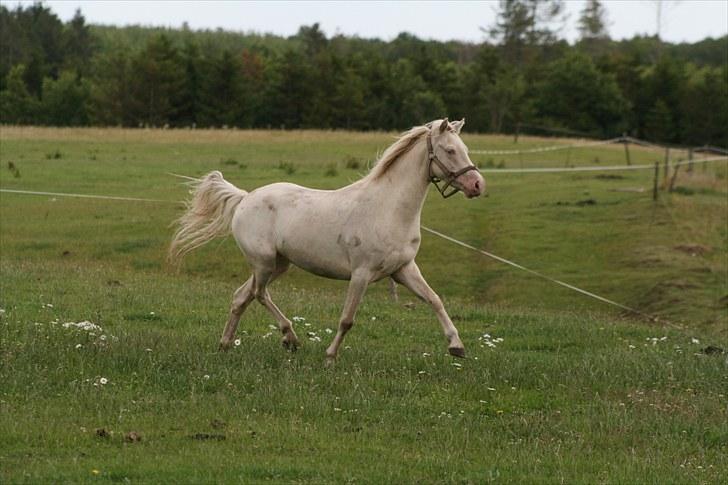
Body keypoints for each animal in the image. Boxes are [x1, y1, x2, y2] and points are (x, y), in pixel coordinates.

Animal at [169, 118, 485, 362]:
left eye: (465, 149)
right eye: (449, 150)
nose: (477, 185)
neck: (388, 208)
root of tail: (246, 198)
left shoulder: (404, 269)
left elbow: (435, 300)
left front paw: (457, 346)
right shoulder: (361, 273)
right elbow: (347, 319)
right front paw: (330, 356)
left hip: (279, 264)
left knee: (241, 297)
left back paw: (226, 345)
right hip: (264, 263)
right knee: (259, 294)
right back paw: (290, 338)